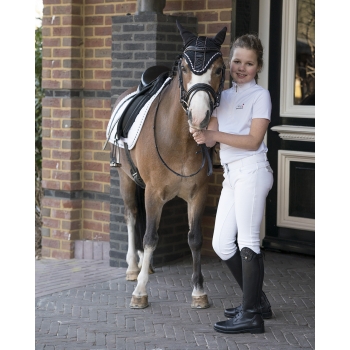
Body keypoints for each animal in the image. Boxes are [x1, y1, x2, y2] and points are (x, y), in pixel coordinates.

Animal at [106, 20, 227, 308]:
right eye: (184, 68)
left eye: (219, 69)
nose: (199, 116)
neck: (179, 139)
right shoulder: (153, 193)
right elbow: (151, 237)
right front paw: (140, 292)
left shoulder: (198, 194)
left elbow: (195, 239)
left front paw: (199, 291)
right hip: (126, 179)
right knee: (131, 216)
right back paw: (133, 268)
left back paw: (145, 267)